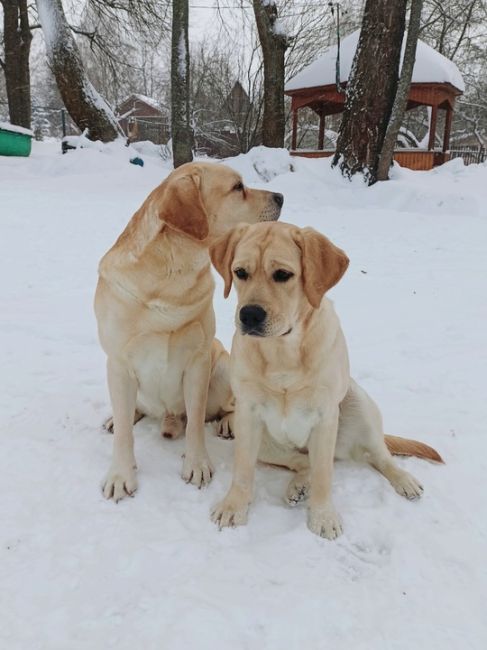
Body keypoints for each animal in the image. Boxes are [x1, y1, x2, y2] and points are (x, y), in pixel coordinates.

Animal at [95, 161, 282, 496]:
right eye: (238, 187)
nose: (281, 197)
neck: (172, 273)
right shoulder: (118, 363)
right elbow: (124, 435)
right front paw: (120, 474)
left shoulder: (197, 361)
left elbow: (195, 421)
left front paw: (197, 465)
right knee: (128, 411)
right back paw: (120, 418)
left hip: (222, 365)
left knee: (225, 407)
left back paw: (227, 422)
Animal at [210, 221, 442, 536]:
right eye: (240, 272)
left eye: (283, 275)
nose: (249, 315)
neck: (282, 351)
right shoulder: (247, 411)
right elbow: (243, 471)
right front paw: (234, 506)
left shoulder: (325, 415)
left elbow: (324, 475)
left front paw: (322, 517)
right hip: (255, 436)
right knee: (301, 461)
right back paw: (298, 486)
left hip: (358, 403)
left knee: (377, 455)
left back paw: (404, 480)